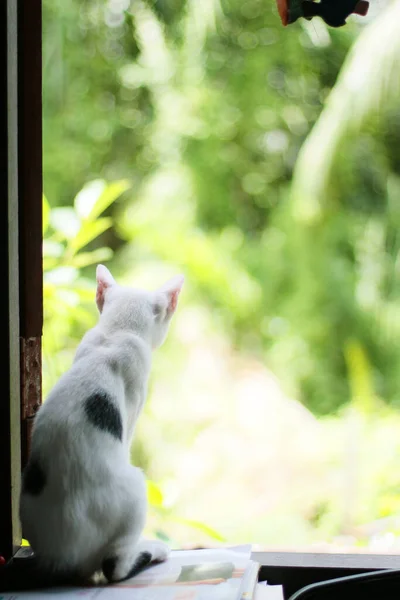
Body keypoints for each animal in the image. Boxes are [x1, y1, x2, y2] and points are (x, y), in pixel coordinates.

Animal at [19, 264, 184, 584]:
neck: (115, 333)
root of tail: (59, 557)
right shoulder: (133, 408)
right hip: (135, 488)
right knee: (114, 567)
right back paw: (152, 551)